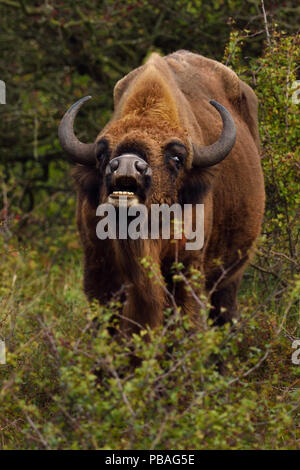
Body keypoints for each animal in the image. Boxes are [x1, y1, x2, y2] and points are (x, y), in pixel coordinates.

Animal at [58, 51, 264, 334]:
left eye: (176, 157)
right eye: (101, 154)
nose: (127, 164)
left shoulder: (187, 267)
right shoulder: (97, 265)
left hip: (231, 275)